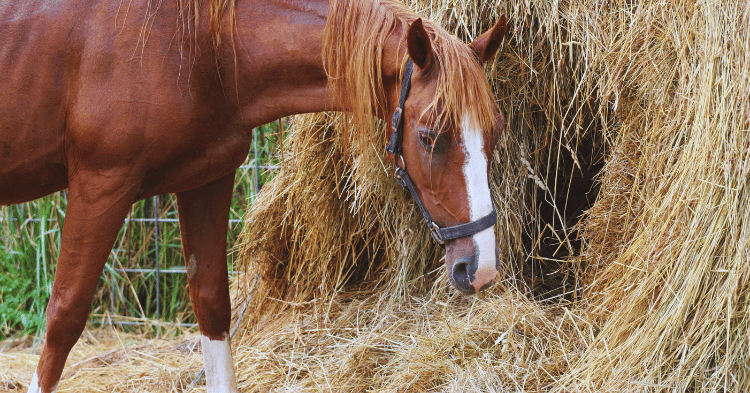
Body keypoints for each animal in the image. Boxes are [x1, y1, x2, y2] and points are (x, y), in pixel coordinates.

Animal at [0, 0, 508, 390]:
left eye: (494, 132)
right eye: (429, 136)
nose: (480, 267)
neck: (198, 46)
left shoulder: (205, 181)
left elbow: (213, 307)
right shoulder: (100, 184)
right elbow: (63, 319)